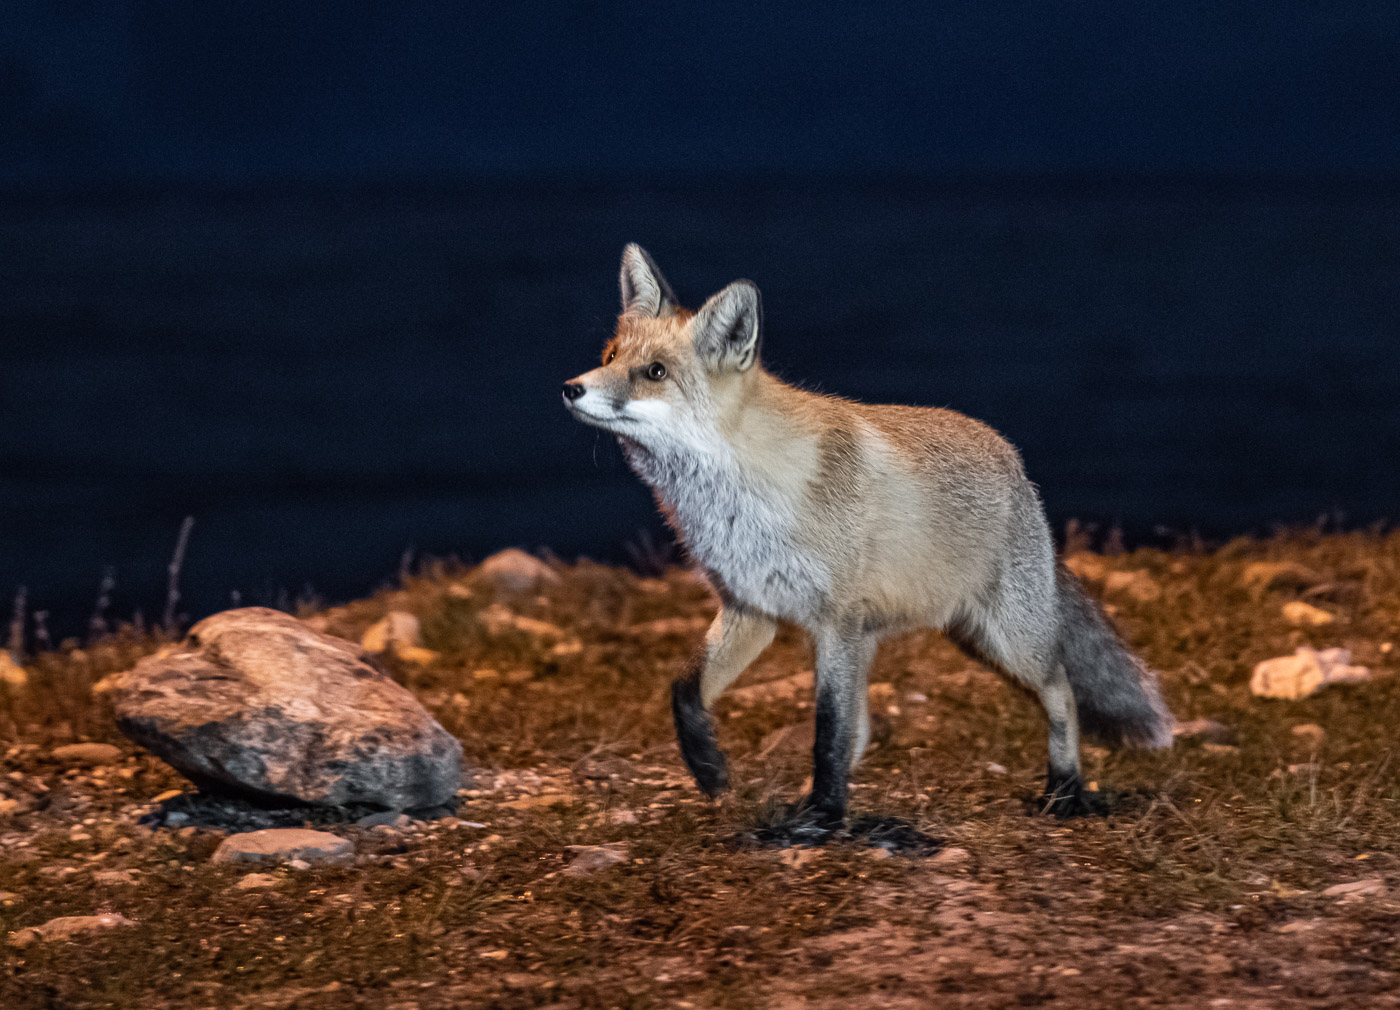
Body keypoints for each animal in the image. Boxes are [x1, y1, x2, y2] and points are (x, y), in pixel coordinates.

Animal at [562, 244, 1173, 829]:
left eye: (655, 372)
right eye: (611, 357)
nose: (571, 388)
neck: (744, 493)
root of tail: (1016, 465)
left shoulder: (835, 619)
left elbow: (827, 732)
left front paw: (824, 817)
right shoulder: (752, 609)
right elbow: (686, 691)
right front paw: (710, 769)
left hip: (1004, 642)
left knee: (1062, 687)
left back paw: (1065, 789)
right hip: (930, 639)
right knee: (866, 729)